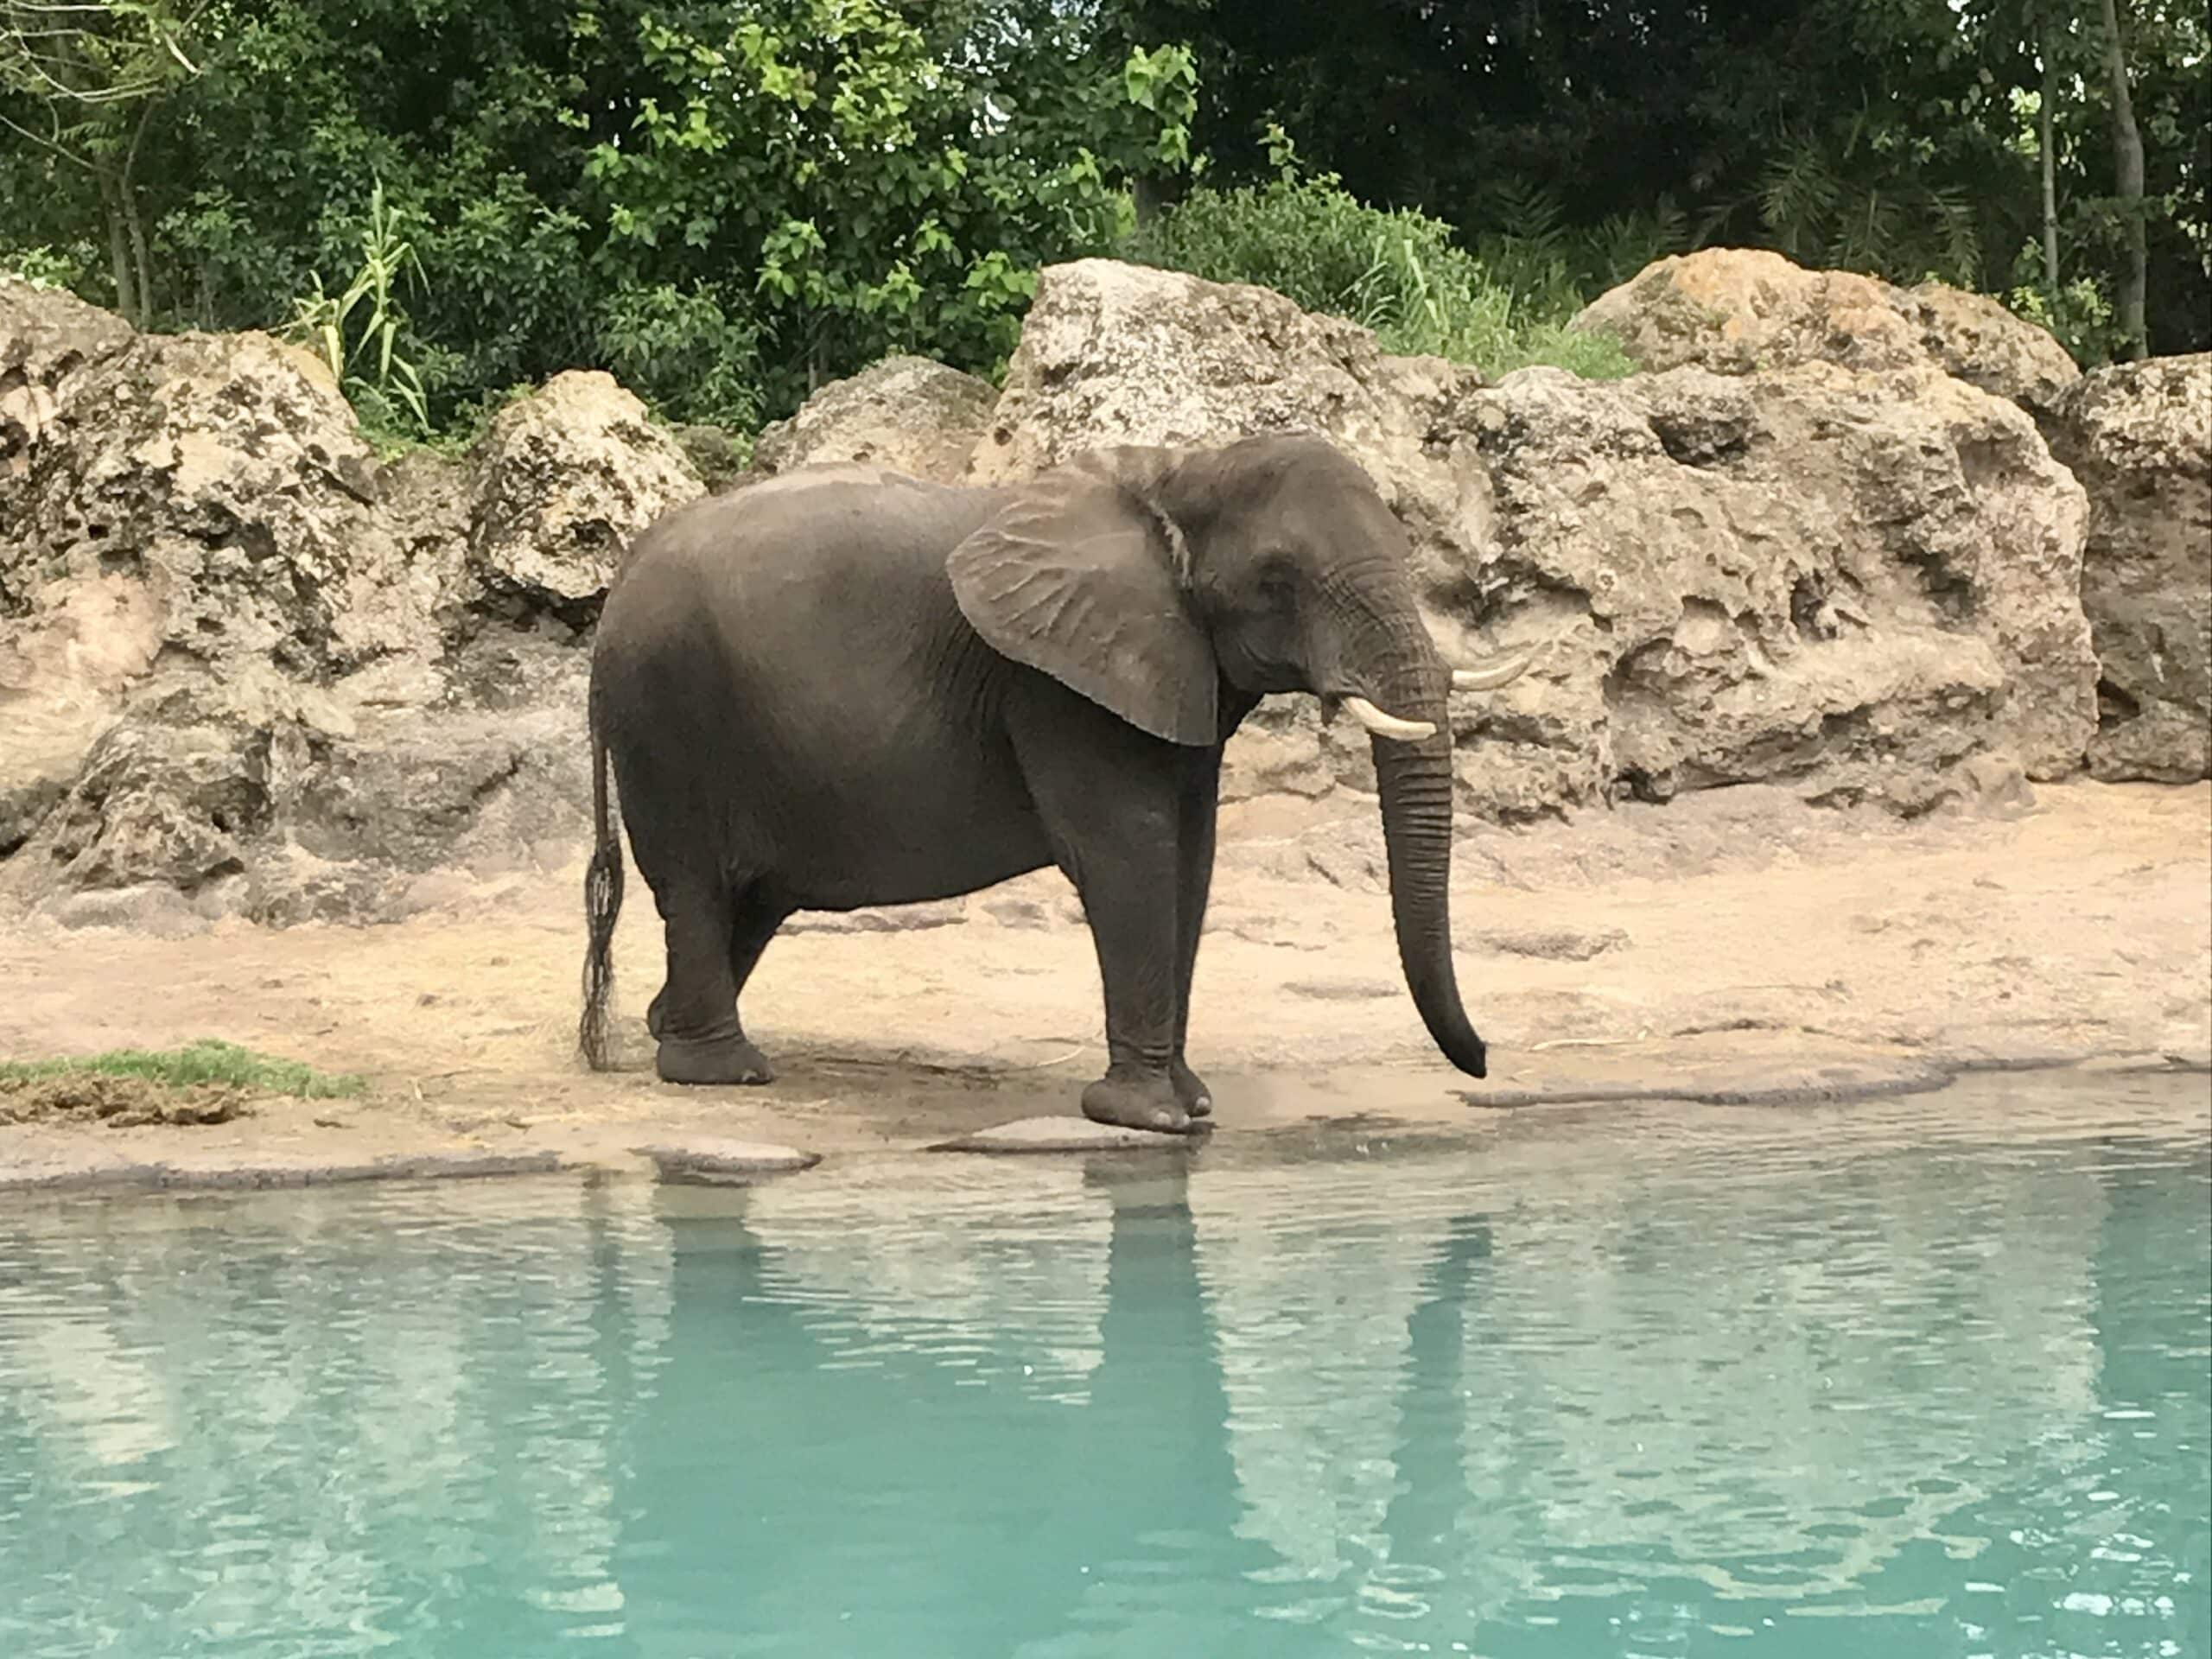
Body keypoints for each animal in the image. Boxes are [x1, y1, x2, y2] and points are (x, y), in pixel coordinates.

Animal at [579, 435, 1530, 1141]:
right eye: (1277, 579)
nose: (1483, 1061)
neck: (1180, 472)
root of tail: (619, 582)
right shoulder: (1058, 684)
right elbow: (1133, 850)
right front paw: (1151, 1119)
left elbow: (1192, 857)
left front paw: (1193, 1103)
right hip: (668, 709)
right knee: (695, 884)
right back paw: (722, 1071)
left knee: (751, 898)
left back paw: (668, 1028)